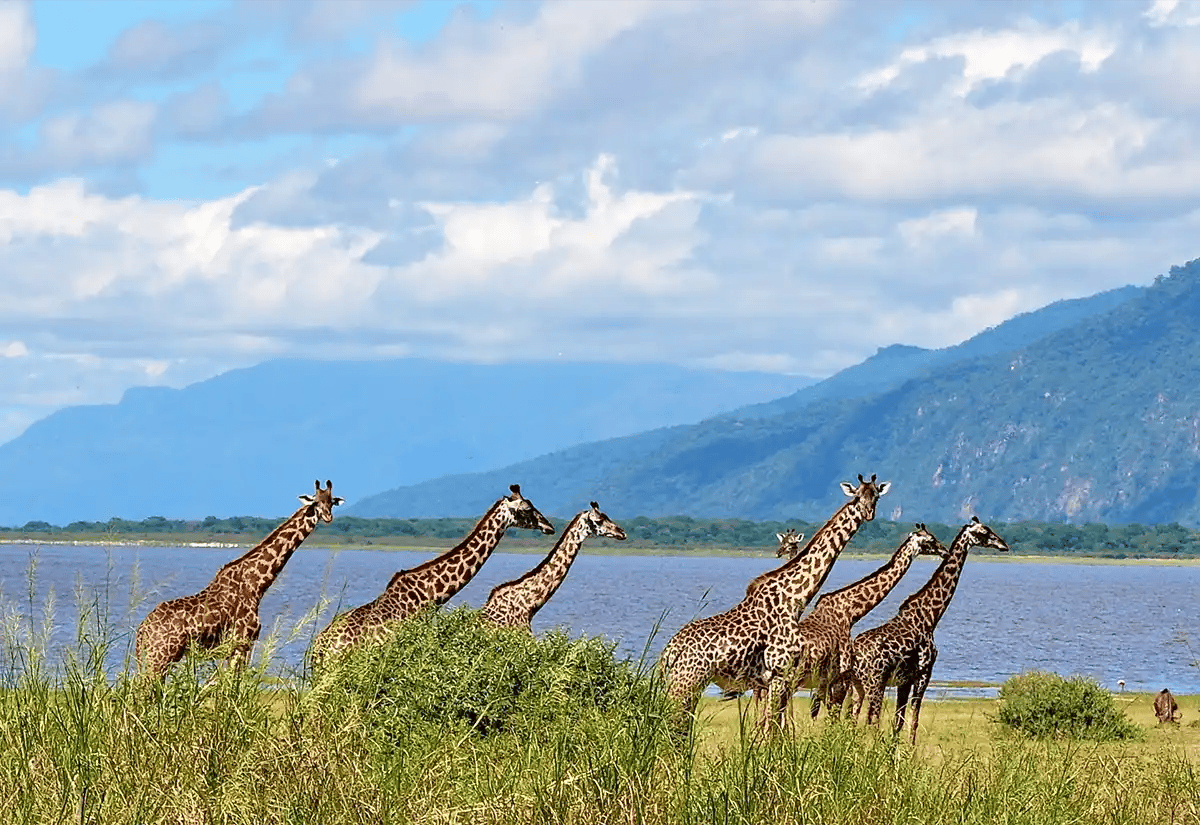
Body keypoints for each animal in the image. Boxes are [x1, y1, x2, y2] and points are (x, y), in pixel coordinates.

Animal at [135, 479, 344, 679]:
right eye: (316, 502)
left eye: (331, 502)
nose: (328, 516)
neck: (256, 584)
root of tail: (142, 630)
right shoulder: (242, 641)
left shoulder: (238, 646)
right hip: (160, 657)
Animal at [659, 474, 891, 736]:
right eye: (858, 495)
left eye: (876, 495)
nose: (869, 513)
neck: (795, 596)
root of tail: (667, 652)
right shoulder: (780, 674)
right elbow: (772, 731)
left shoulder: (773, 680)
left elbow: (771, 729)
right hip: (686, 683)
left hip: (684, 684)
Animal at [765, 524, 948, 727]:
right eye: (930, 540)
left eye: (791, 543)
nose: (944, 551)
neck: (851, 610)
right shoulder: (839, 676)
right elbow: (831, 715)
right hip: (791, 679)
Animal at [836, 516, 1009, 743]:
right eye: (983, 532)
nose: (1003, 545)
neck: (930, 617)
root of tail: (855, 656)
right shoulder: (924, 673)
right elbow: (913, 720)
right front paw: (909, 751)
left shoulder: (905, 679)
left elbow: (898, 721)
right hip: (875, 683)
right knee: (871, 721)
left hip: (857, 685)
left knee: (853, 720)